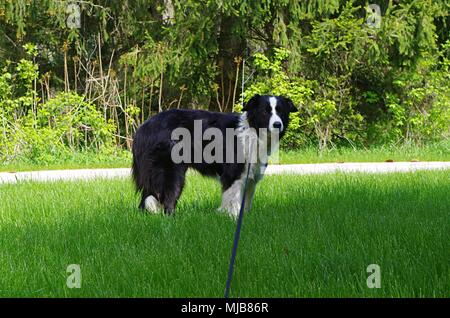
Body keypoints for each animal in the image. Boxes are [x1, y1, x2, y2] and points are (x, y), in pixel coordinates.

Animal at [132, 94, 298, 217]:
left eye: (281, 112)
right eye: (265, 111)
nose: (277, 125)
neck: (252, 132)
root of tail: (143, 129)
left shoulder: (252, 176)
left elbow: (246, 202)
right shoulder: (233, 173)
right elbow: (233, 200)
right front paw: (232, 217)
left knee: (147, 198)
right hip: (170, 171)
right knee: (167, 197)